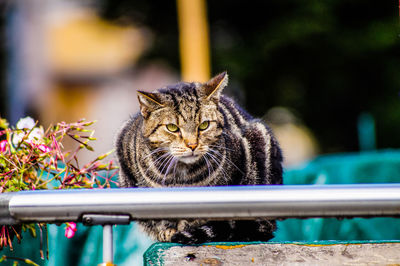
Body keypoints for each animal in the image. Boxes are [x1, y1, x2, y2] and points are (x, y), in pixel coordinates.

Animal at [117, 71, 282, 244]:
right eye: (172, 128)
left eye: (204, 125)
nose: (192, 145)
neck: (180, 177)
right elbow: (161, 219)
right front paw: (167, 230)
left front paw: (185, 229)